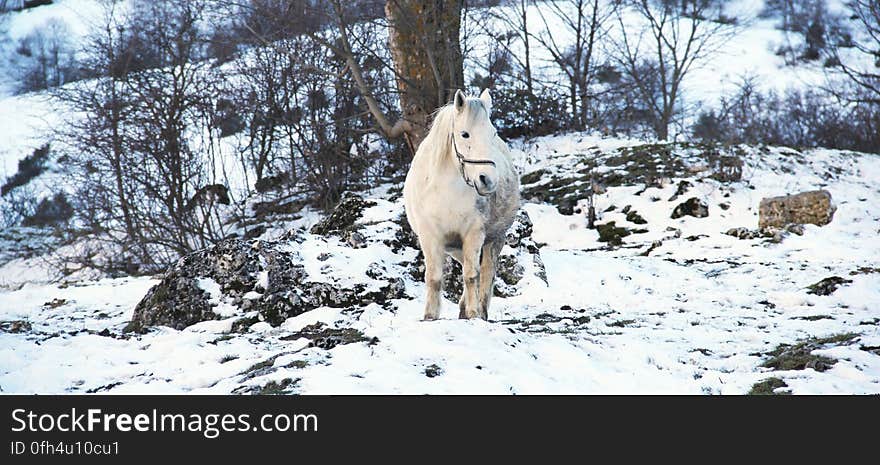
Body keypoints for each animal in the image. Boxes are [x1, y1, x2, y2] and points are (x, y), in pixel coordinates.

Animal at [402, 89, 520, 320]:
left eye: (493, 133)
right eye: (465, 134)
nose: (487, 180)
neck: (447, 190)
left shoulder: (474, 233)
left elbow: (471, 275)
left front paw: (474, 313)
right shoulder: (430, 236)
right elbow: (434, 277)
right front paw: (430, 316)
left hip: (495, 238)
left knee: (486, 271)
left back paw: (480, 309)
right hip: (454, 246)